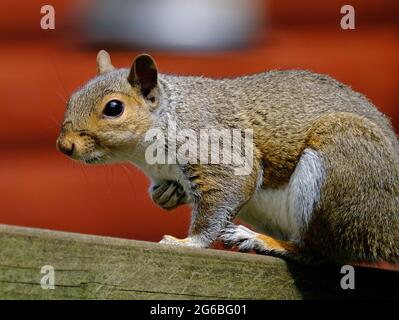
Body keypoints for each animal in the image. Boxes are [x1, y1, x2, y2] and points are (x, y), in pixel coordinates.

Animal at [57, 50, 399, 264]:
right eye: (72, 99)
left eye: (114, 108)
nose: (64, 145)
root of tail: (388, 231)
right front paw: (165, 195)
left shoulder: (213, 145)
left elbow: (228, 191)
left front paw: (188, 243)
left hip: (341, 159)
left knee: (318, 251)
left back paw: (264, 241)